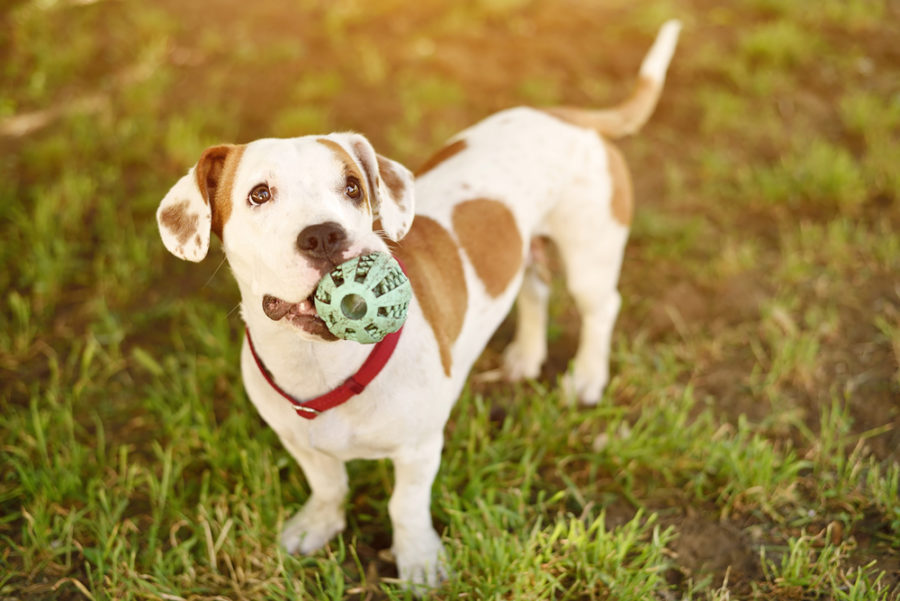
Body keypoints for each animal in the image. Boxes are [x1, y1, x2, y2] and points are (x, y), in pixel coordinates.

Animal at [155, 18, 680, 592]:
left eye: (353, 188)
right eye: (258, 195)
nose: (325, 235)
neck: (322, 363)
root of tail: (566, 114)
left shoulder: (420, 450)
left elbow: (404, 507)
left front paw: (420, 563)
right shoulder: (299, 441)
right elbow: (328, 484)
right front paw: (318, 525)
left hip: (590, 253)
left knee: (599, 308)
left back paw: (586, 377)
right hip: (525, 249)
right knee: (533, 289)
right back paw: (524, 356)